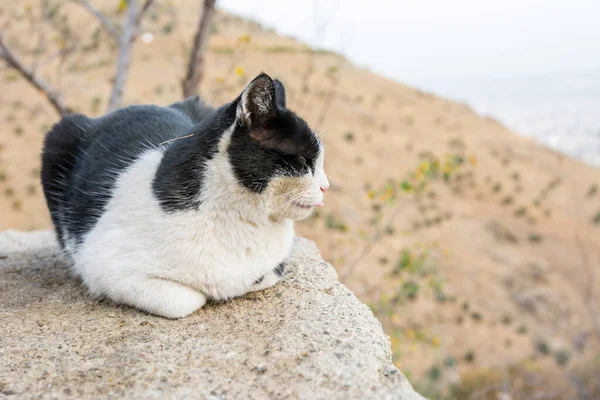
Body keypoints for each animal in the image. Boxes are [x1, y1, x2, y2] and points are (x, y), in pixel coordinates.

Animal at [41, 72, 332, 318]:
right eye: (304, 160)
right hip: (58, 135)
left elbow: (265, 274)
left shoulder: (275, 263)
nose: (326, 186)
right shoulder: (103, 263)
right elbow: (188, 300)